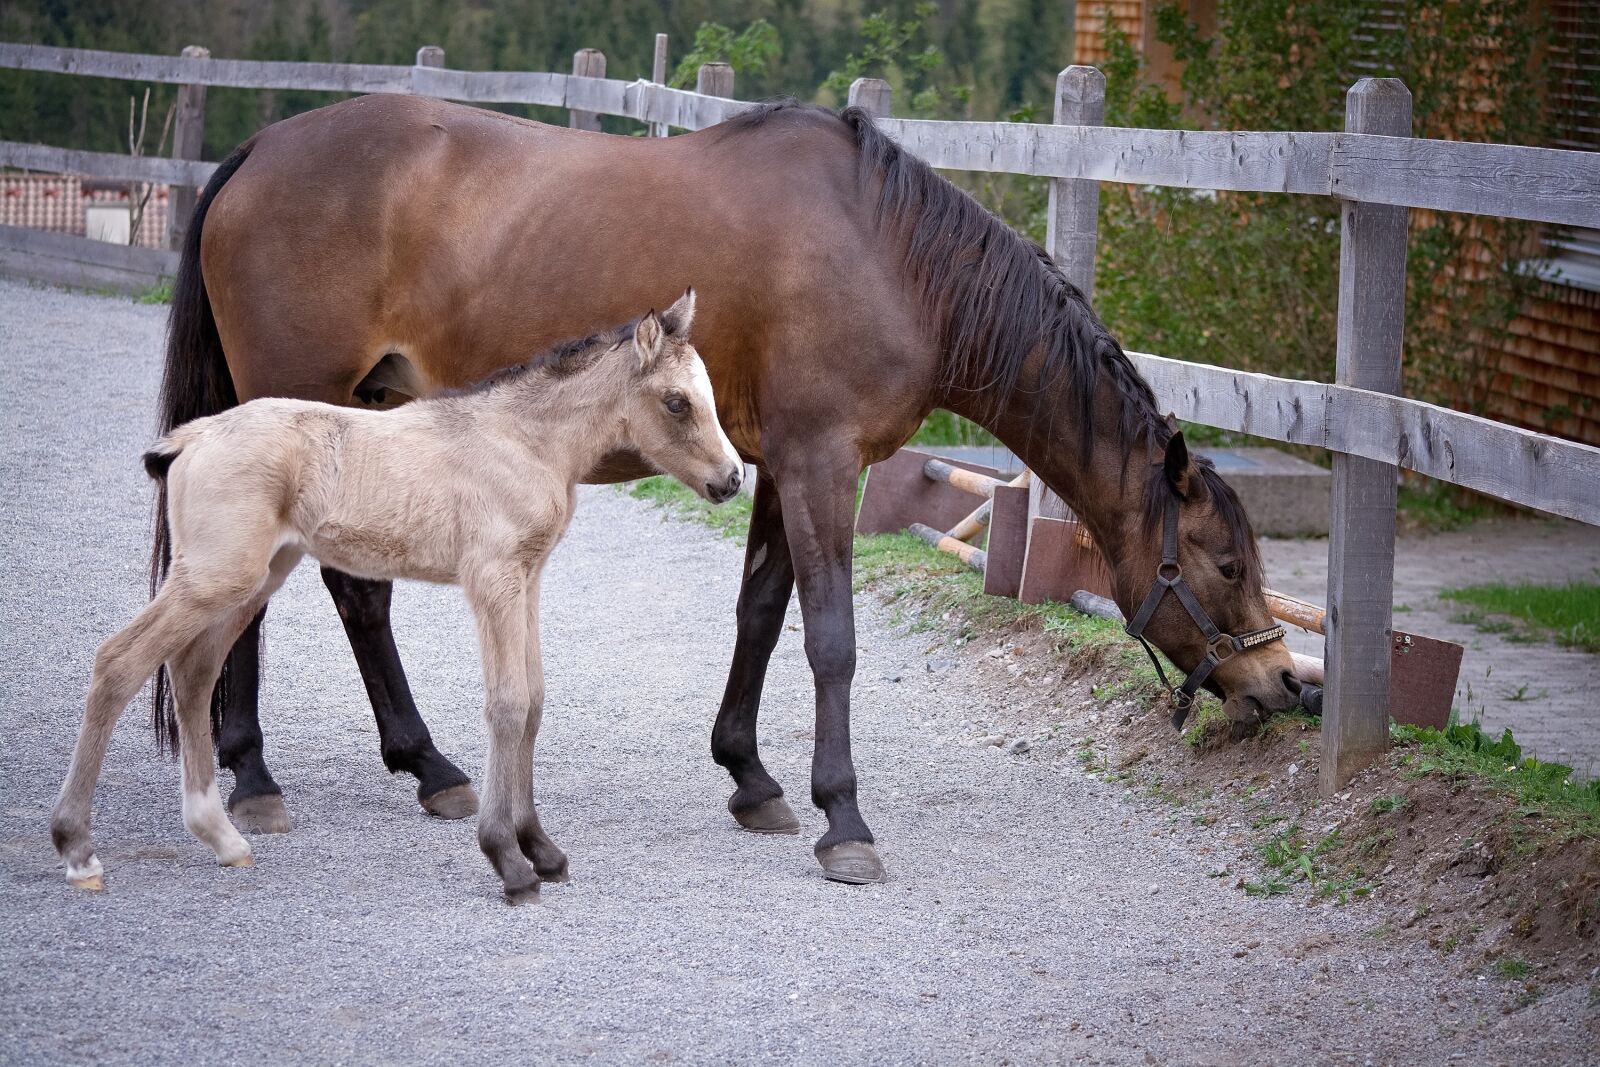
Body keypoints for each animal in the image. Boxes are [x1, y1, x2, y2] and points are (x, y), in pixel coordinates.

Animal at [54, 293, 742, 902]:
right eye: (677, 403)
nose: (733, 480)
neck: (523, 440)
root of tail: (193, 437)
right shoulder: (493, 578)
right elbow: (509, 705)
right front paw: (508, 860)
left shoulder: (528, 578)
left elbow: (535, 701)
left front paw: (541, 849)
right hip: (215, 574)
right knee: (119, 661)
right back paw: (77, 849)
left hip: (252, 578)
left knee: (192, 671)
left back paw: (221, 837)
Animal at [156, 95, 1304, 886]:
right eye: (1225, 562)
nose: (1283, 683)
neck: (894, 258)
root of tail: (261, 149)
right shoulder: (822, 461)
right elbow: (831, 637)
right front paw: (845, 819)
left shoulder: (775, 464)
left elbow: (760, 610)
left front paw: (750, 776)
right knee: (273, 594)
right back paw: (257, 776)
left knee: (348, 592)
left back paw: (423, 765)